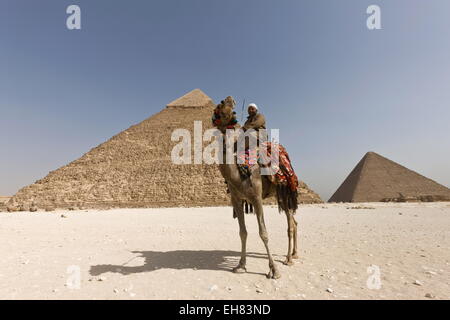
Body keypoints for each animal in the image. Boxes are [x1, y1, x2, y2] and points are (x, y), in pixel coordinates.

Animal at [214, 96, 300, 278]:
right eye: (220, 105)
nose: (229, 99)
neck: (238, 173)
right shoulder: (236, 200)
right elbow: (242, 232)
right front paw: (240, 265)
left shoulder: (256, 198)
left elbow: (263, 233)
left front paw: (274, 270)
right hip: (280, 196)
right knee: (294, 223)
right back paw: (295, 253)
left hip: (287, 191)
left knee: (290, 224)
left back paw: (288, 258)